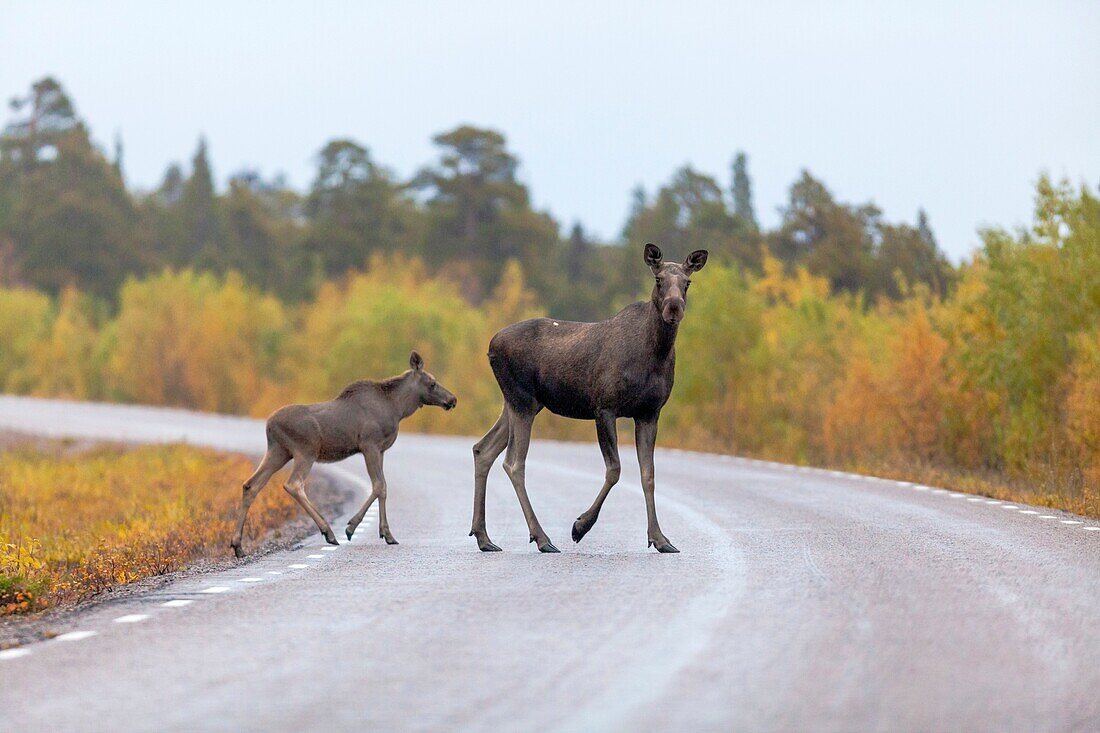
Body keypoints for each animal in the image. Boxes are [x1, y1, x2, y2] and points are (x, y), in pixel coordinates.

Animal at [229, 352, 457, 556]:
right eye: (432, 383)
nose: (452, 399)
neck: (398, 408)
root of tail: (269, 425)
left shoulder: (381, 449)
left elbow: (383, 488)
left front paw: (386, 533)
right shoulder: (369, 445)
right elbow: (379, 486)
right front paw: (353, 528)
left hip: (279, 451)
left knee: (251, 485)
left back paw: (238, 546)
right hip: (305, 451)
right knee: (293, 484)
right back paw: (328, 531)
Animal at [468, 242, 708, 550]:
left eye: (687, 282)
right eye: (658, 279)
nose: (673, 307)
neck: (655, 353)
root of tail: (490, 347)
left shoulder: (649, 412)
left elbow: (649, 475)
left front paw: (660, 539)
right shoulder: (604, 406)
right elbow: (615, 469)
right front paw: (580, 526)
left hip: (521, 402)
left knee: (483, 449)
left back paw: (484, 537)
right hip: (522, 400)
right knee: (513, 462)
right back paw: (542, 537)